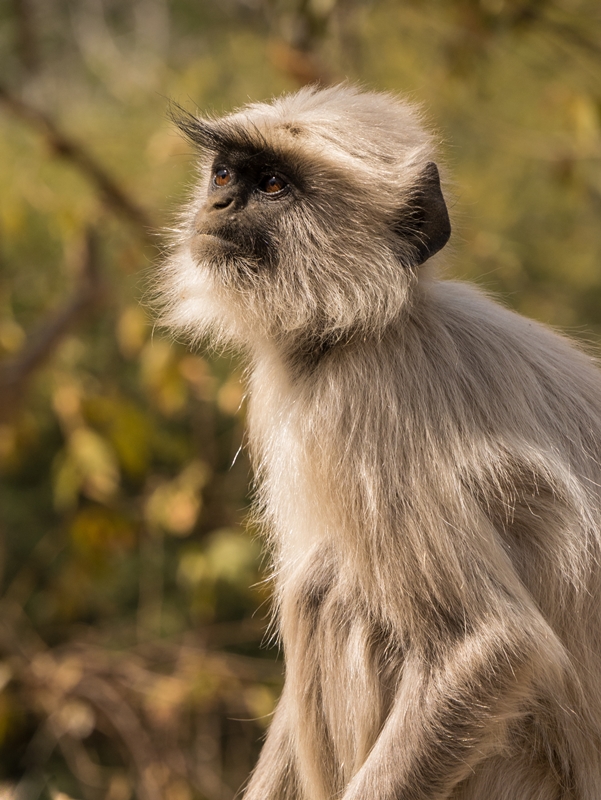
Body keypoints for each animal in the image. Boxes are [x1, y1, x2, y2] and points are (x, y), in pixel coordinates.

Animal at [161, 84, 601, 796]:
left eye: (275, 185)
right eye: (226, 175)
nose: (219, 205)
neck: (371, 324)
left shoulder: (364, 402)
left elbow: (490, 645)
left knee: (326, 590)